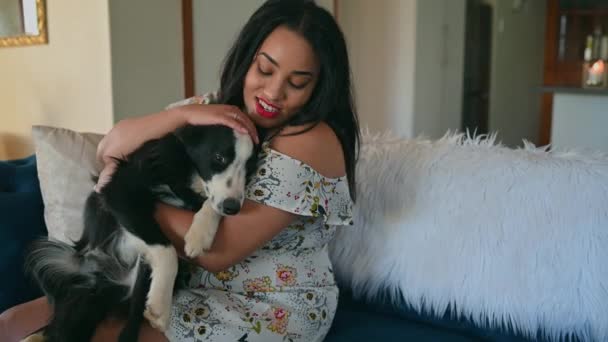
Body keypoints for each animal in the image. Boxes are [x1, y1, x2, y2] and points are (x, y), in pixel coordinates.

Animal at [23, 124, 256, 340]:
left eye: (250, 168)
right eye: (219, 157)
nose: (234, 208)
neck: (188, 172)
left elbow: (211, 203)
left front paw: (200, 235)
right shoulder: (119, 190)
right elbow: (168, 250)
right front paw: (161, 306)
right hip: (47, 255)